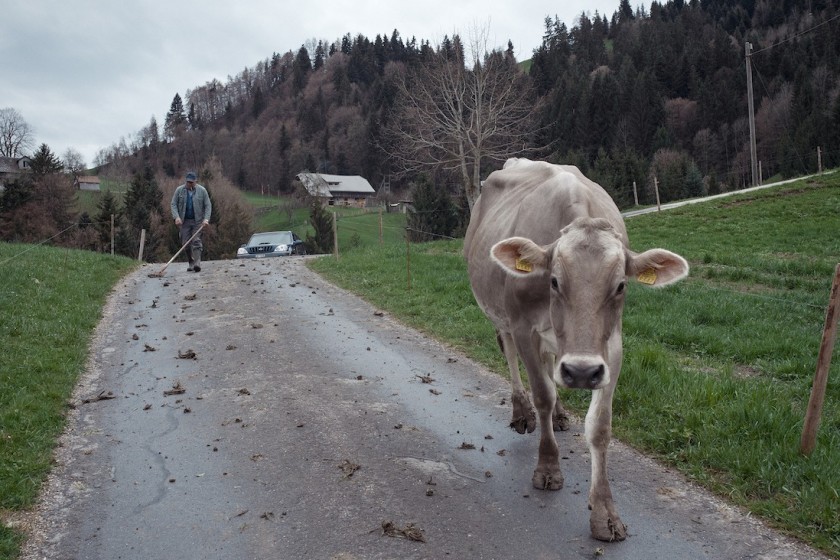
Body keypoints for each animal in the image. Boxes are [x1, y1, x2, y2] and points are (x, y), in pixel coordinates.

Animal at [462, 158, 684, 544]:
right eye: (553, 280)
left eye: (621, 286)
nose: (581, 372)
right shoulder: (525, 328)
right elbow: (542, 395)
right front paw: (548, 468)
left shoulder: (611, 346)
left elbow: (600, 425)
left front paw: (605, 513)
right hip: (499, 314)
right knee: (510, 354)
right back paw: (522, 413)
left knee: (551, 363)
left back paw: (562, 414)